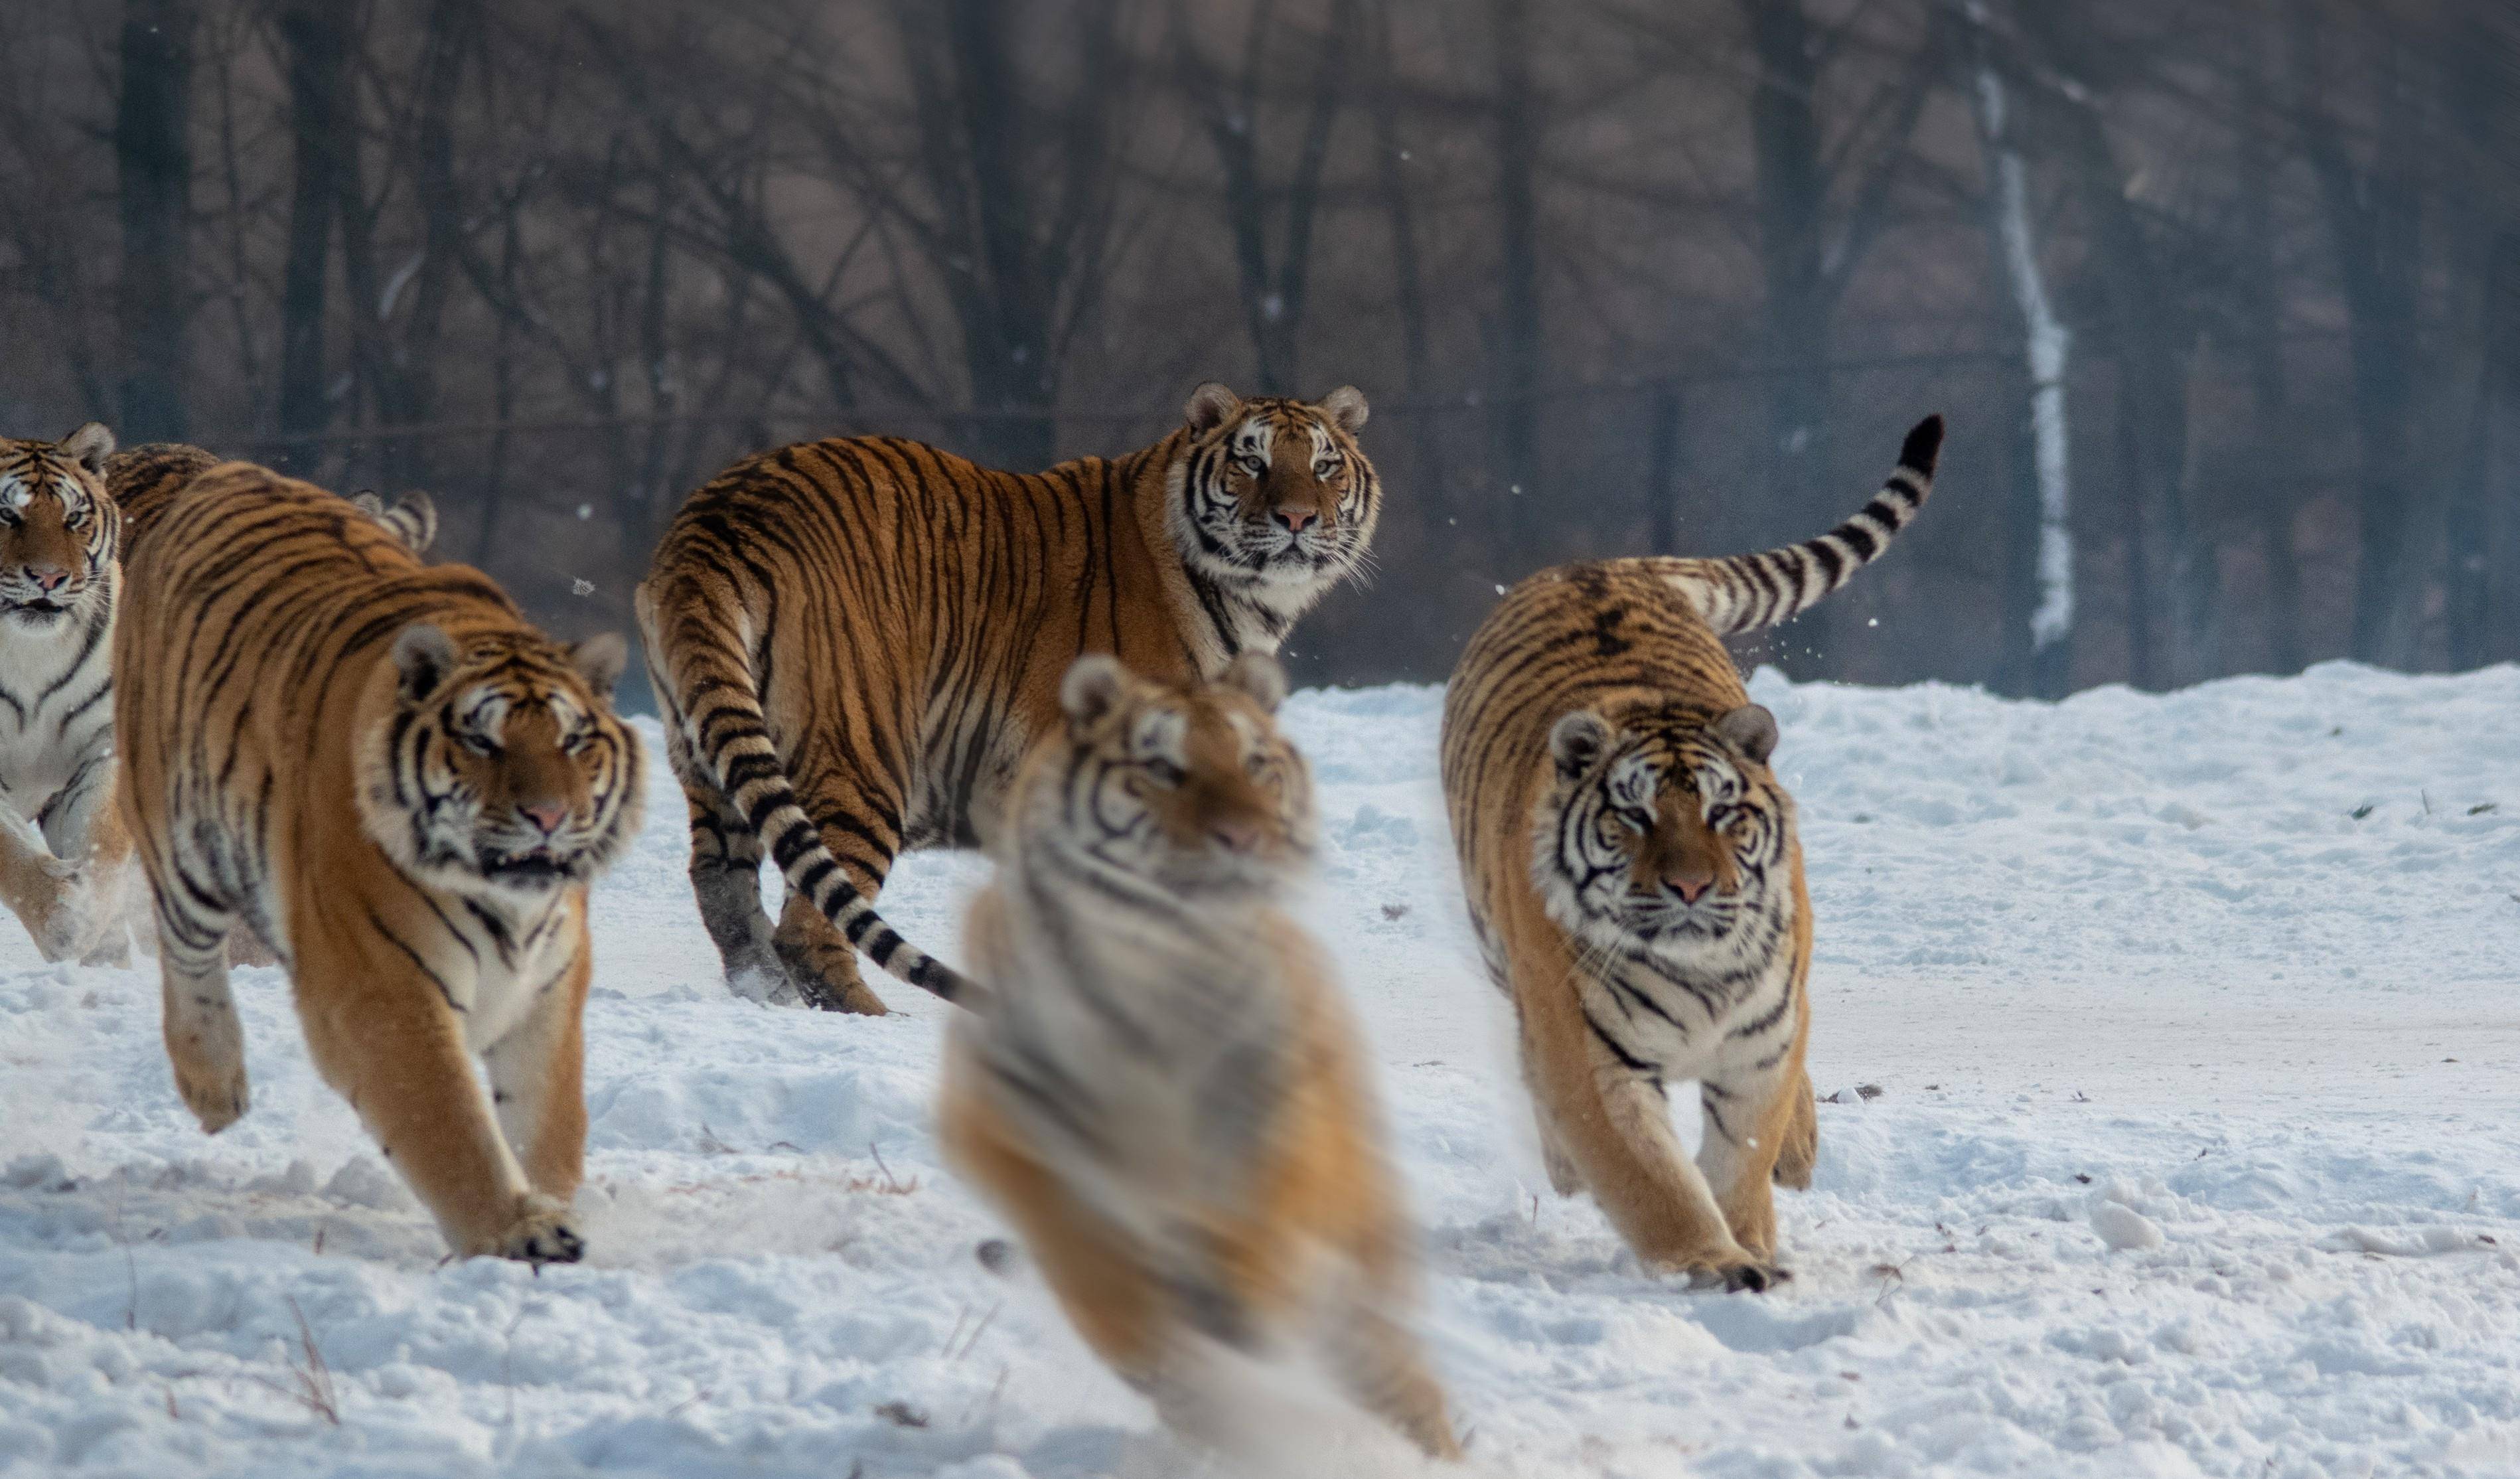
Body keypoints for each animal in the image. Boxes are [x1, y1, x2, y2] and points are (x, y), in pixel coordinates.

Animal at [120, 461, 650, 1259]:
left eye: (572, 741)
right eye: (484, 741)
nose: (549, 817)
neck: (508, 904)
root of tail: (225, 469)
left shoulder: (549, 987)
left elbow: (546, 1120)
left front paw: (554, 1203)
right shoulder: (380, 989)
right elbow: (450, 1125)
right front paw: (521, 1230)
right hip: (176, 832)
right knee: (187, 953)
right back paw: (214, 1084)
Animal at [630, 378, 1380, 1018]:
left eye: (1323, 465)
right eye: (1252, 461)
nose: (1296, 518)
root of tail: (711, 521)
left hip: (708, 750)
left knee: (723, 888)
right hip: (865, 754)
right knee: (809, 925)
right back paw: (878, 1021)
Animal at [942, 655, 1461, 1461]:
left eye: (1254, 764)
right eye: (1163, 768)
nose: (1244, 837)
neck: (1159, 961)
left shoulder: (1269, 1091)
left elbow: (1265, 1203)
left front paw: (1241, 1298)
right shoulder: (997, 1110)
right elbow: (1078, 1248)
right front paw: (1143, 1331)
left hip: (1358, 1273)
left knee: (1395, 1373)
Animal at [1441, 416, 1945, 1300]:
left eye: (1720, 813)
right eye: (1633, 816)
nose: (1689, 885)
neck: (1700, 970)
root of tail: (1604, 563)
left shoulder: (1760, 1043)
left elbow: (1739, 1154)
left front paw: (1750, 1237)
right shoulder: (1590, 1058)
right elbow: (1651, 1176)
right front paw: (1709, 1259)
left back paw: (1800, 1153)